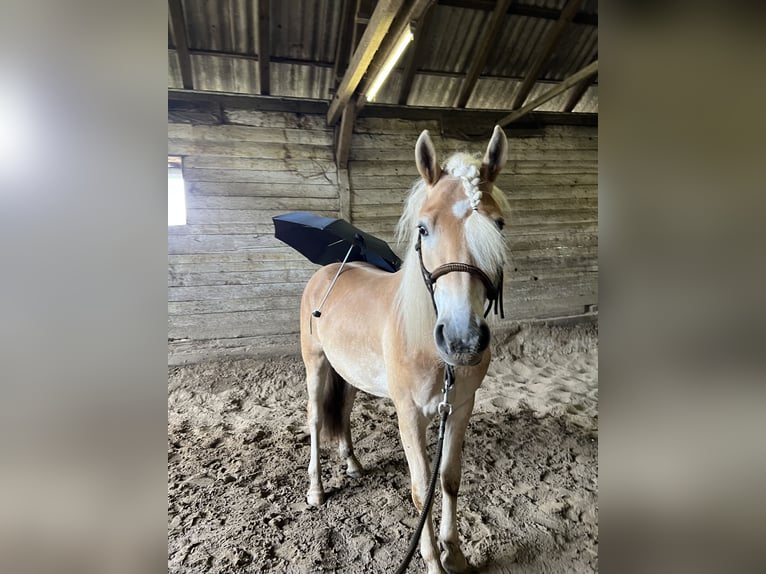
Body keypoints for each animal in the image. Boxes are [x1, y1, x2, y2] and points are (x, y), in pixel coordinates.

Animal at [300, 127, 510, 574]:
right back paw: (316, 490)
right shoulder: (409, 414)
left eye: (498, 225)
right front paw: (433, 561)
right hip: (316, 365)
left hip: (350, 375)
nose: (462, 340)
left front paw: (456, 553)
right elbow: (419, 489)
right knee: (315, 419)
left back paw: (353, 464)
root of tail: (327, 271)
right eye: (424, 229)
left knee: (343, 413)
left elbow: (448, 478)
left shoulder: (459, 408)